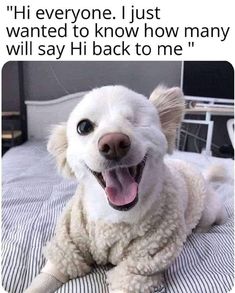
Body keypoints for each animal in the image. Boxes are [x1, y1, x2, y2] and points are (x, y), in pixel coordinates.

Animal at [25, 85, 226, 292]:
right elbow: (44, 279)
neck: (112, 218)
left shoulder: (141, 264)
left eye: (134, 120)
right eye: (84, 127)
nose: (113, 143)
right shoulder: (68, 248)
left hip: (208, 210)